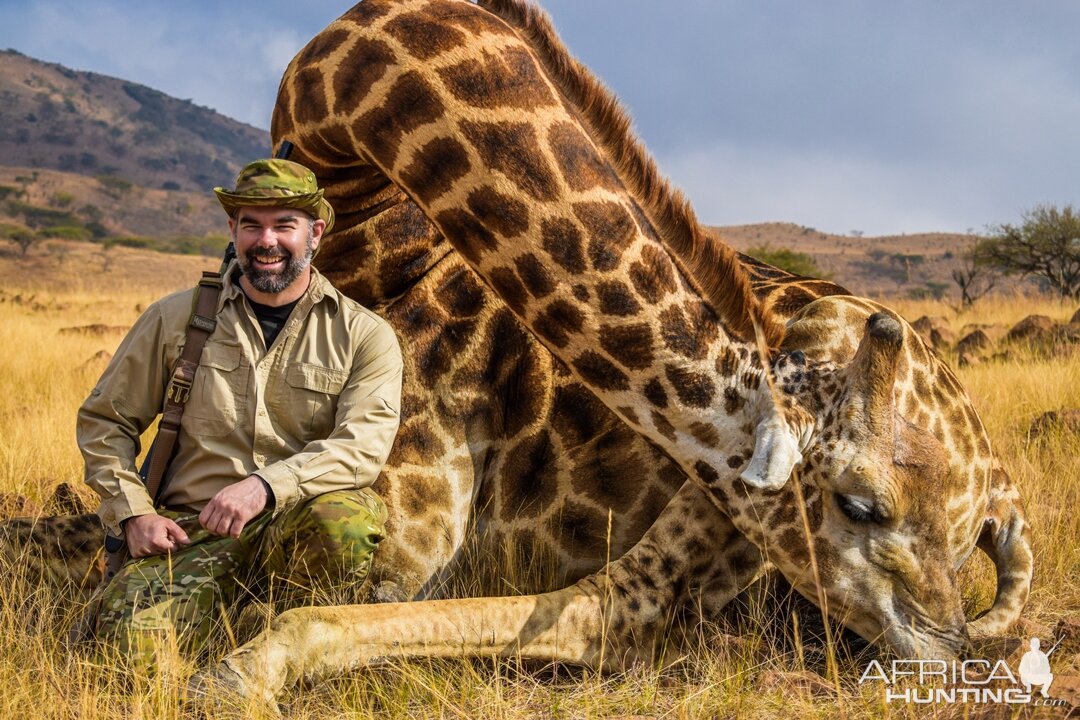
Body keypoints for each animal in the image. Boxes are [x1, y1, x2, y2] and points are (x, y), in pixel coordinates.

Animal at [181, 0, 1032, 703]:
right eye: (861, 505)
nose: (947, 650)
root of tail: (1002, 493)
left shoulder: (403, 536)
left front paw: (237, 673)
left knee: (619, 605)